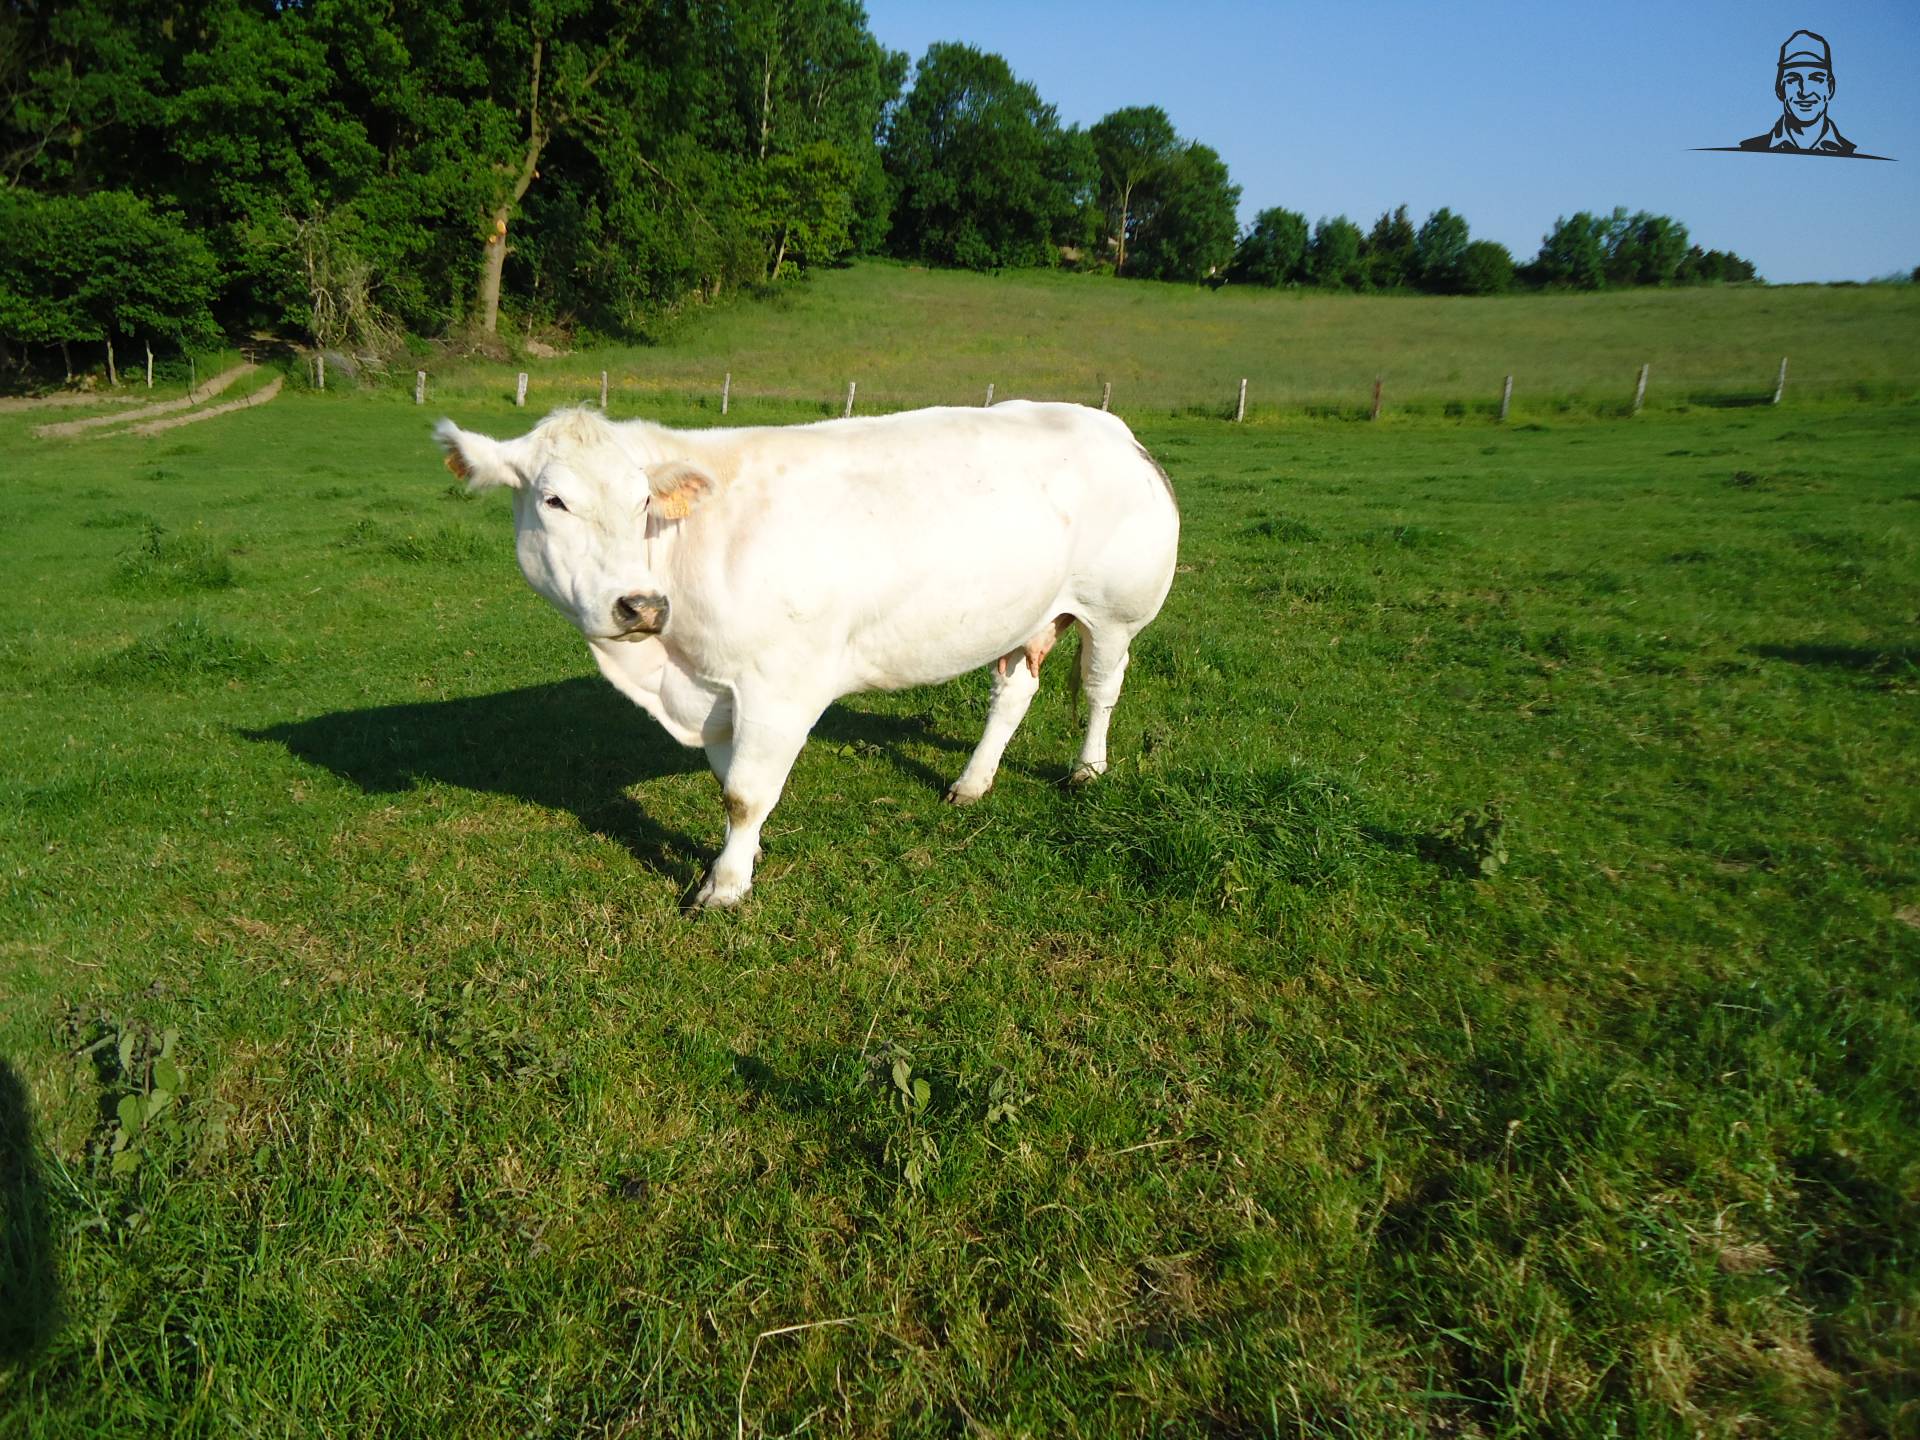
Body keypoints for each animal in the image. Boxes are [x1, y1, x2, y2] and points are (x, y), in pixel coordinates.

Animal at [434, 401, 1179, 908]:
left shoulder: (780, 684)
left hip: (1117, 611)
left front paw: (725, 887)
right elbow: (731, 782)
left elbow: (744, 793)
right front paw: (745, 856)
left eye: (643, 500)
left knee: (1101, 688)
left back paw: (1087, 769)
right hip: (1027, 615)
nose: (639, 606)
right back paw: (973, 782)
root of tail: (1113, 428)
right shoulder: (719, 693)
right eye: (553, 500)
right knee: (1015, 691)